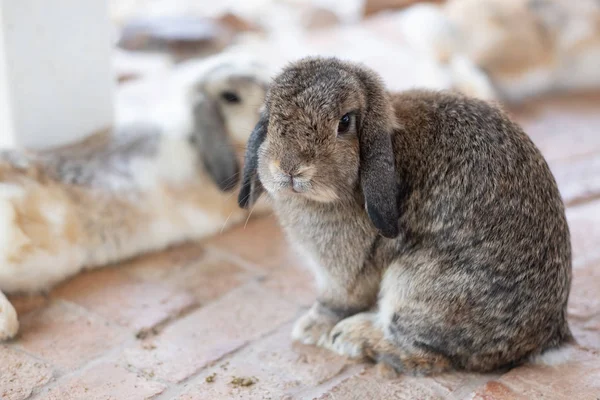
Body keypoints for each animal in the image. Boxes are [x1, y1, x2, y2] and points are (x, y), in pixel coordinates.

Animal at [238, 57, 572, 376]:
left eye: (345, 122)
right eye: (271, 116)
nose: (290, 168)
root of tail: (545, 339)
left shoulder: (344, 271)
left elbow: (336, 301)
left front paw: (310, 328)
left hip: (414, 286)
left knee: (424, 355)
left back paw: (350, 336)